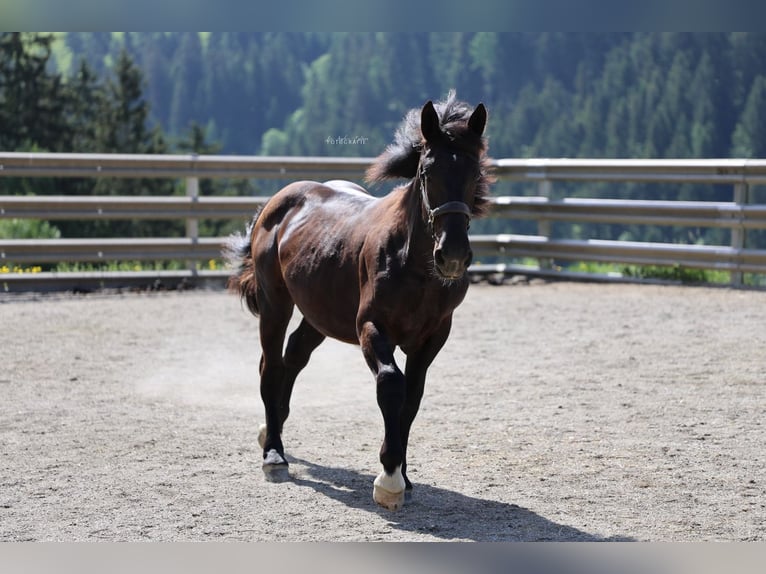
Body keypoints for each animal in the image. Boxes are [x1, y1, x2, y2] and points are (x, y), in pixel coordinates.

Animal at [226, 91, 493, 511]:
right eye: (426, 173)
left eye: (474, 173)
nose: (452, 256)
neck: (412, 263)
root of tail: (277, 204)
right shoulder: (371, 326)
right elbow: (391, 384)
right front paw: (388, 478)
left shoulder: (433, 337)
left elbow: (412, 398)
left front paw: (404, 475)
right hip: (274, 304)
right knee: (270, 366)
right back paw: (274, 453)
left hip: (319, 314)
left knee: (293, 358)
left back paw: (273, 428)